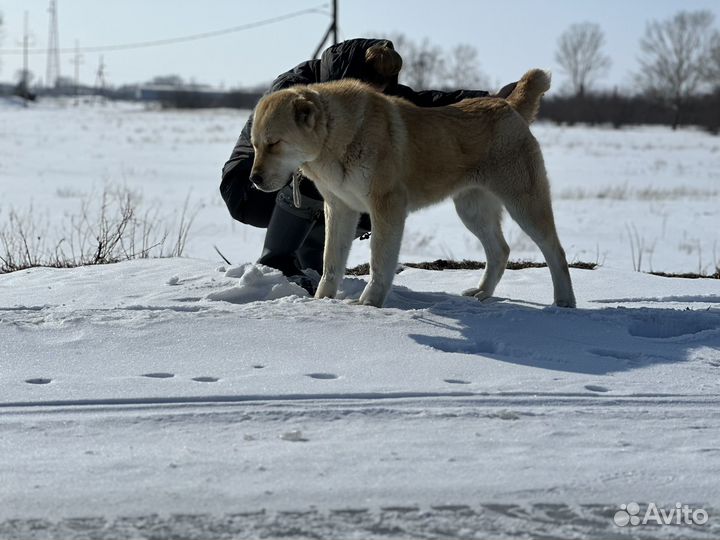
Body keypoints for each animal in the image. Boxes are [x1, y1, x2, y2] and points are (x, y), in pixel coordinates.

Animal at [250, 69, 576, 310]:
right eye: (255, 145)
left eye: (274, 143)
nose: (254, 179)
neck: (336, 135)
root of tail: (507, 105)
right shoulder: (339, 209)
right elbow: (331, 262)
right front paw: (323, 302)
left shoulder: (387, 207)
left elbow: (379, 261)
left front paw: (369, 305)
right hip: (471, 210)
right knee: (500, 250)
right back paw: (482, 294)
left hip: (524, 203)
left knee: (555, 251)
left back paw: (564, 302)